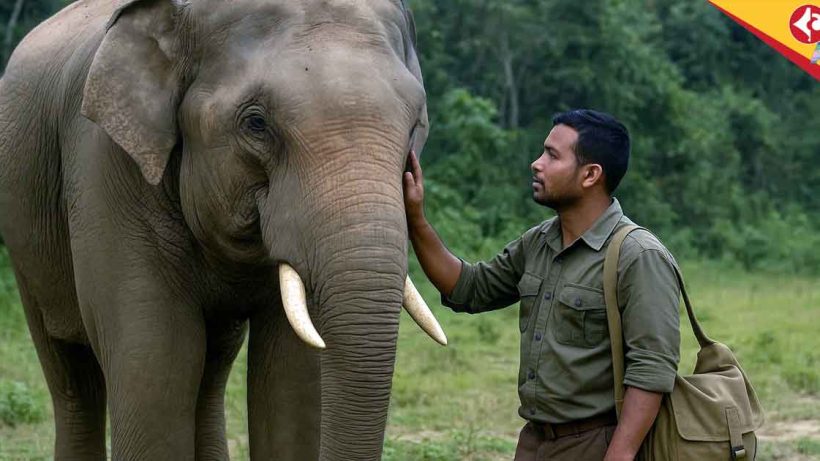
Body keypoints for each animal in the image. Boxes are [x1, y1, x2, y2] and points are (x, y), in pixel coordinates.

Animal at [0, 0, 447, 459]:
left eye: (415, 124)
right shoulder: (105, 166)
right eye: (256, 124)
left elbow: (293, 374)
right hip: (23, 238)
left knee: (210, 371)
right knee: (74, 379)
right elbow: (154, 360)